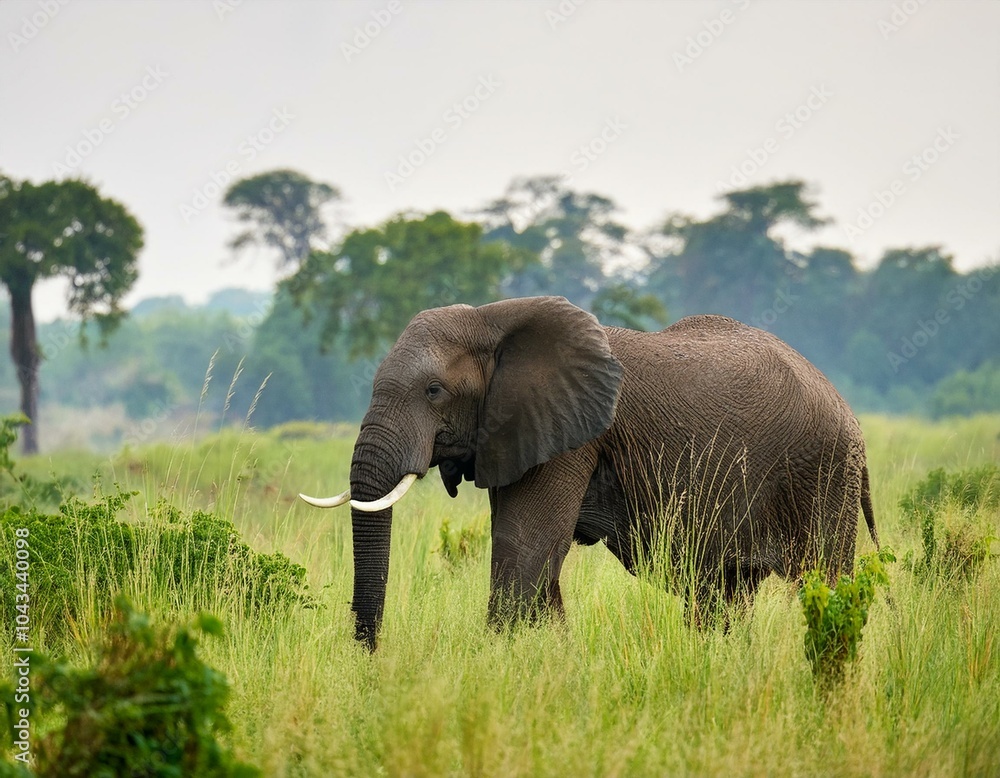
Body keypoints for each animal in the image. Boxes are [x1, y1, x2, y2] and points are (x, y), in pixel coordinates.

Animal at [300, 296, 879, 650]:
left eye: (434, 391)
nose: (370, 659)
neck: (493, 319)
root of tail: (849, 411)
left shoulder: (569, 435)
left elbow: (524, 550)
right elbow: (535, 561)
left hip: (824, 474)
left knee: (826, 581)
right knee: (723, 596)